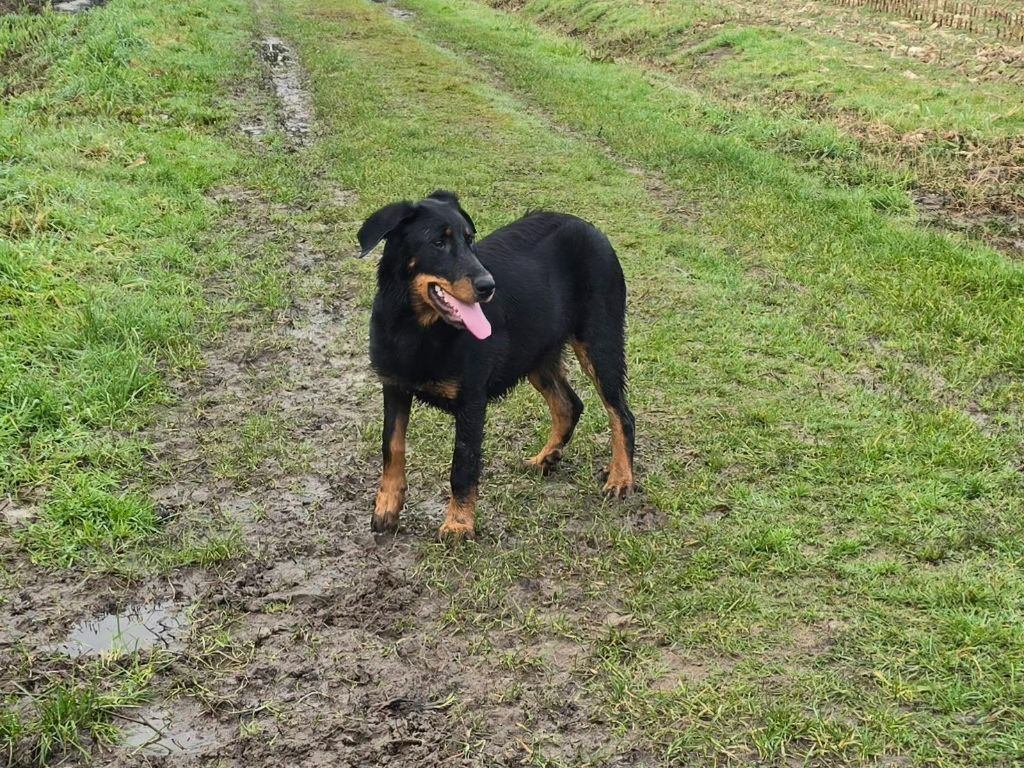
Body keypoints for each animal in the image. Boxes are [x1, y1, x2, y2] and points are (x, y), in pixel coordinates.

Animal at [358, 191, 630, 540]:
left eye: (470, 239)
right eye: (438, 243)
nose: (489, 286)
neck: (418, 328)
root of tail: (591, 229)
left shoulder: (472, 400)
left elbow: (463, 464)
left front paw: (458, 524)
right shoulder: (394, 386)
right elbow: (391, 448)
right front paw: (387, 508)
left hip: (599, 341)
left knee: (620, 413)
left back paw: (621, 478)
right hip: (536, 353)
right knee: (570, 404)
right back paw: (546, 458)